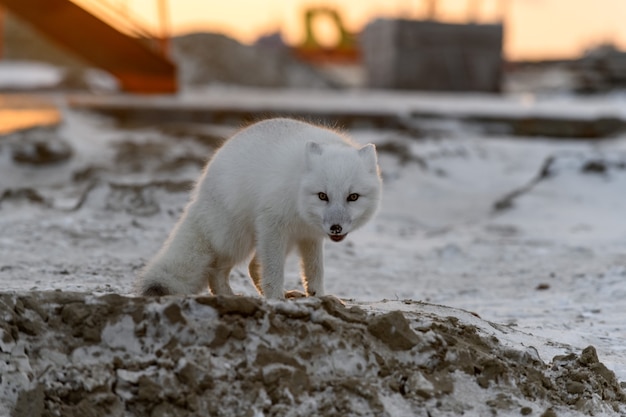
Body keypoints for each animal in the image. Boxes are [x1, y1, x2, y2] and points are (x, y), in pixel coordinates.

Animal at [136, 118, 380, 298]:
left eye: (353, 197)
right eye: (323, 196)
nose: (335, 228)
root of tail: (201, 186)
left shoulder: (309, 236)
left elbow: (314, 270)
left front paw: (319, 296)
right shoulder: (272, 224)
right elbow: (273, 271)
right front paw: (275, 300)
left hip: (282, 241)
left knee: (252, 266)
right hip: (240, 239)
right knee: (217, 269)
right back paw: (229, 297)